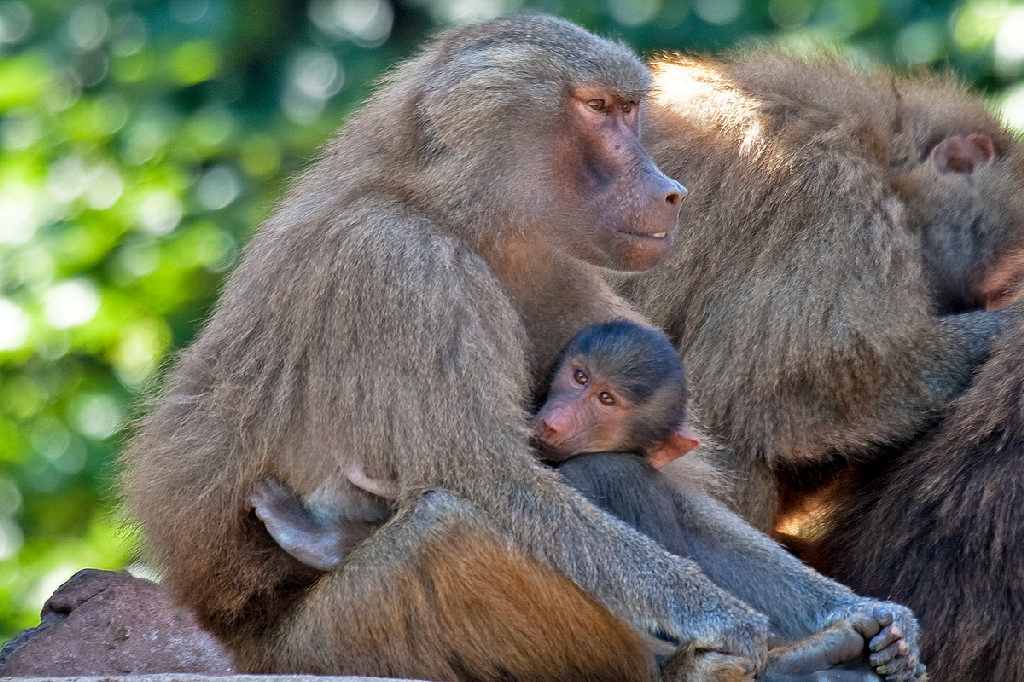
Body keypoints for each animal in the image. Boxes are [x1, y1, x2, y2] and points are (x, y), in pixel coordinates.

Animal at [120, 17, 924, 681]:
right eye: (599, 109)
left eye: (630, 109)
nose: (671, 191)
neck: (449, 209)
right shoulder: (405, 266)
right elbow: (494, 477)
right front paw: (720, 618)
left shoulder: (549, 267)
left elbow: (668, 483)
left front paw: (860, 613)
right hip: (335, 643)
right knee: (452, 531)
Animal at [618, 51, 1024, 532]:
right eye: (997, 286)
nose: (982, 302)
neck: (881, 153)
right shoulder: (831, 201)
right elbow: (793, 385)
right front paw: (1008, 323)